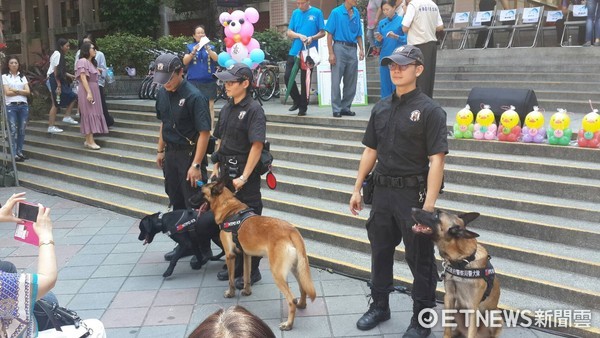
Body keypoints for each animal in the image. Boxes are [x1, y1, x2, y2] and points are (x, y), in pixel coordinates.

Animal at [193, 178, 316, 332]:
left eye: (200, 192)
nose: (190, 200)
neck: (228, 208)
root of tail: (291, 230)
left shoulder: (230, 255)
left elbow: (231, 280)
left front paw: (230, 293)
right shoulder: (246, 255)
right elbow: (246, 276)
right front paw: (247, 291)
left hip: (277, 273)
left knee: (290, 299)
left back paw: (288, 324)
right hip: (296, 268)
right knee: (303, 288)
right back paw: (301, 304)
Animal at [410, 207, 504, 336]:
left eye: (436, 216)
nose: (413, 208)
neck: (462, 261)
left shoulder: (473, 309)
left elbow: (471, 332)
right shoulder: (449, 298)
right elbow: (447, 328)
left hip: (494, 315)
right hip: (457, 310)